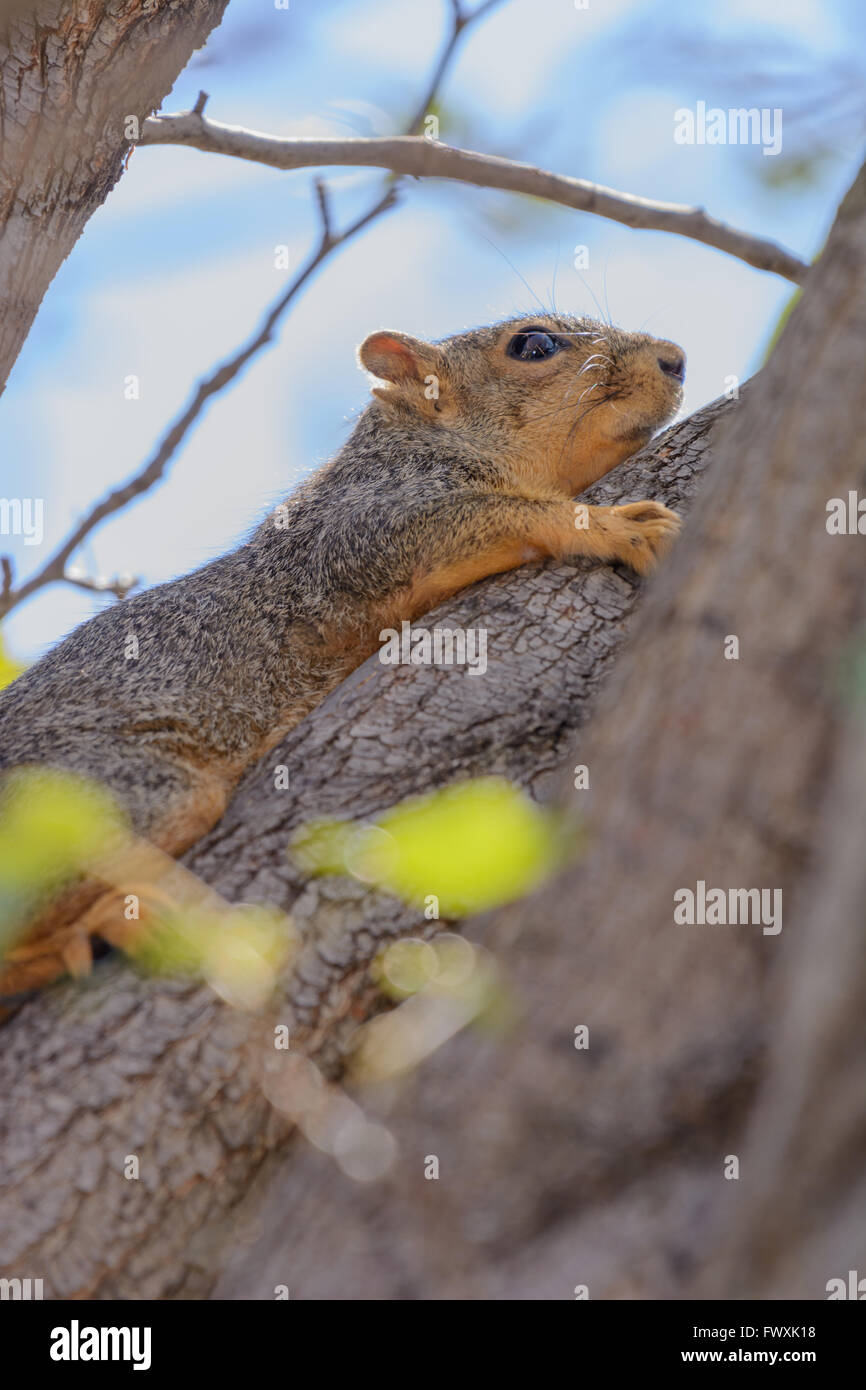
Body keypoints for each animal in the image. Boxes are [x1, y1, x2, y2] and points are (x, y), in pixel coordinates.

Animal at [0, 312, 683, 1000]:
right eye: (534, 345)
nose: (675, 358)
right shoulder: (354, 531)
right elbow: (502, 514)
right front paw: (613, 525)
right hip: (109, 788)